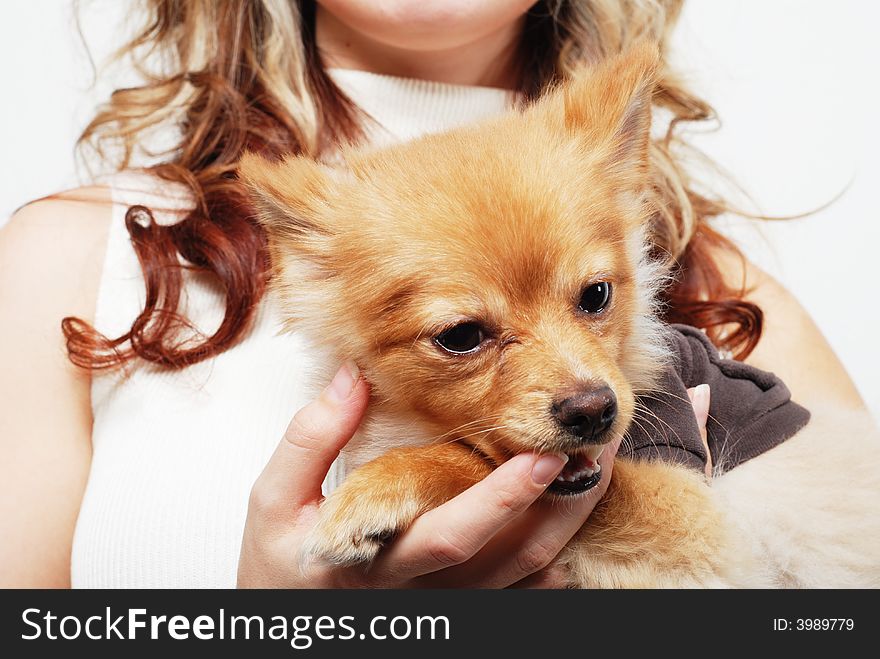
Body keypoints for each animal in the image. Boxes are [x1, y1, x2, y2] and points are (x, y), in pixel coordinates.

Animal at [241, 45, 880, 588]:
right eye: (462, 336)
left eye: (596, 295)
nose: (594, 410)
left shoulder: (690, 526)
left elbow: (476, 463)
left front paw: (381, 486)